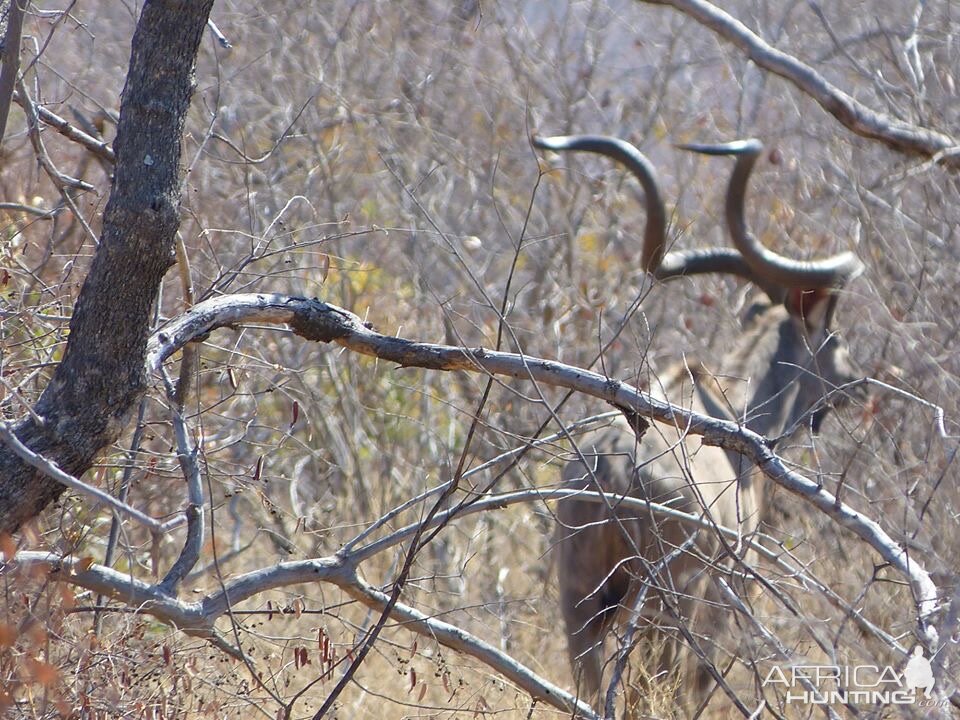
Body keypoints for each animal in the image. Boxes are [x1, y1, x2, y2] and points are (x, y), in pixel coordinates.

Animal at [536, 136, 868, 716]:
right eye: (835, 339)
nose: (860, 384)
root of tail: (611, 469)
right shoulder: (727, 593)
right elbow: (701, 680)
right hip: (666, 605)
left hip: (581, 602)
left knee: (590, 684)